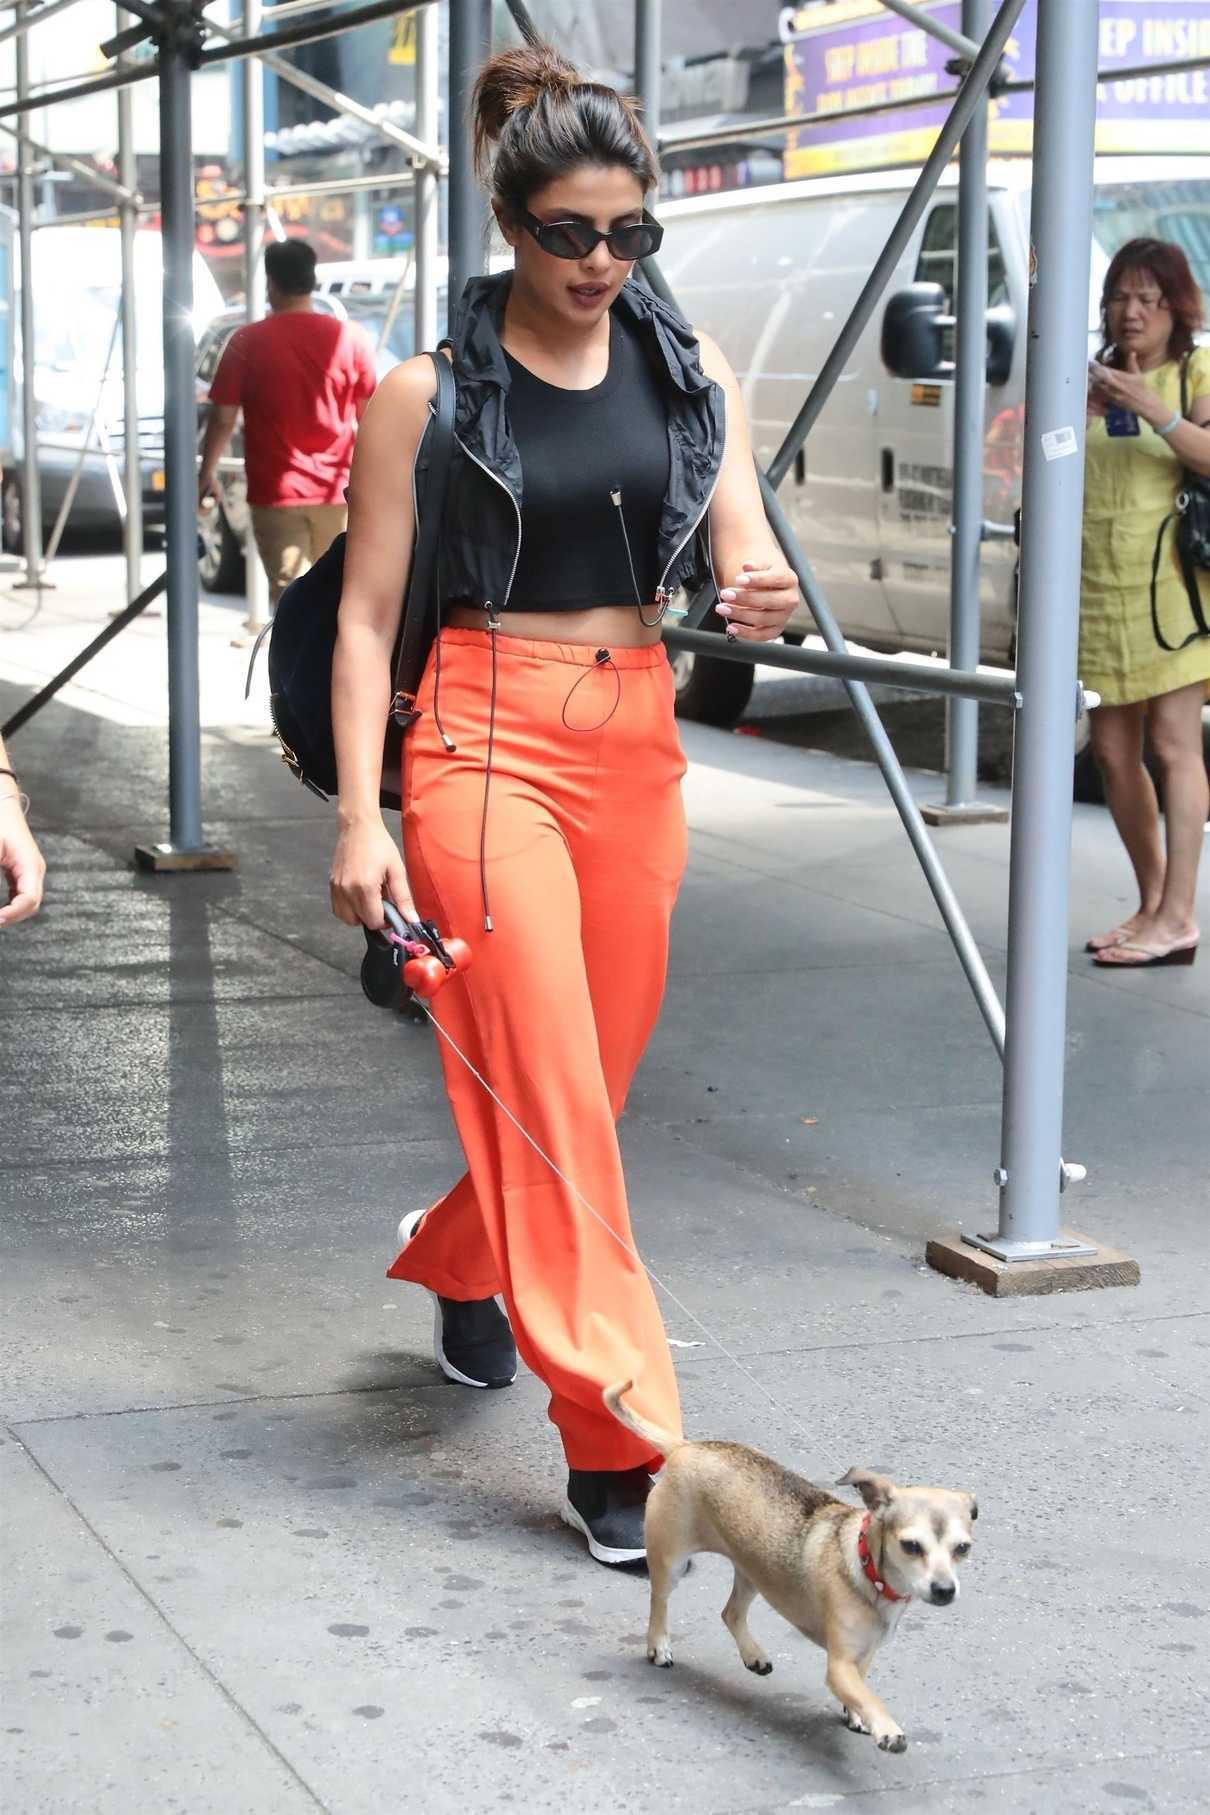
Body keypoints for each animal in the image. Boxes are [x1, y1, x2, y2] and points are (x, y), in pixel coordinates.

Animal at [602, 1379, 979, 1749]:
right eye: (911, 1546)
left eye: (962, 1548)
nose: (945, 1590)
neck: (868, 1572)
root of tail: (685, 1448)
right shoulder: (839, 1666)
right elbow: (869, 1696)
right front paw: (885, 1727)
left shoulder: (863, 1656)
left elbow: (861, 1690)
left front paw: (858, 1716)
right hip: (672, 1562)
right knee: (660, 1601)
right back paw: (658, 1645)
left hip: (753, 1572)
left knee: (731, 1613)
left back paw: (752, 1653)